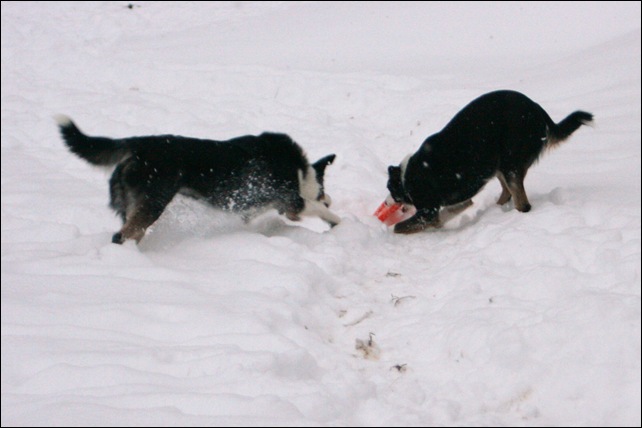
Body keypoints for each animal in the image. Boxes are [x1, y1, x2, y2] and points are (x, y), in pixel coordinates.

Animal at [56, 115, 340, 244]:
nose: (329, 199)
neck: (302, 172)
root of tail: (138, 144)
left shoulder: (253, 209)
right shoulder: (291, 200)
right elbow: (315, 207)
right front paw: (337, 220)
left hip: (133, 205)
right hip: (153, 203)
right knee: (122, 235)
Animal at [384, 90, 592, 234]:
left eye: (391, 191)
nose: (386, 203)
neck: (408, 175)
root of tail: (538, 111)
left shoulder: (428, 211)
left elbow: (399, 227)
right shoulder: (458, 200)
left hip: (510, 163)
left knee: (523, 204)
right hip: (497, 165)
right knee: (507, 193)